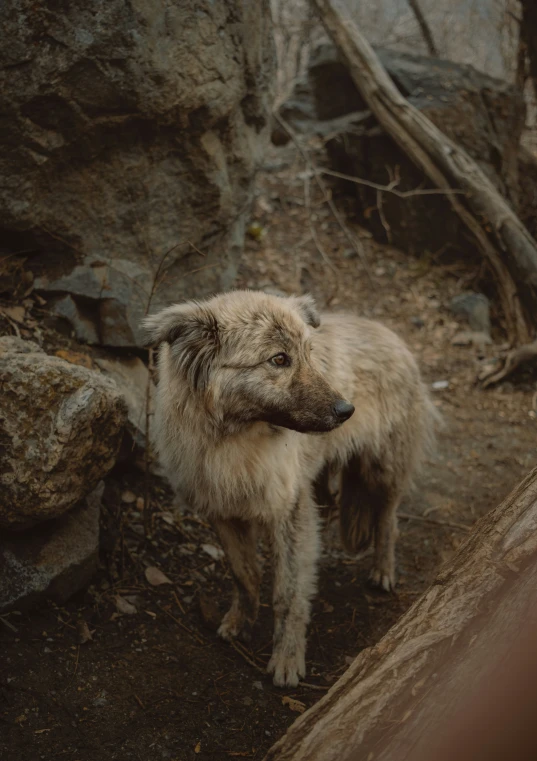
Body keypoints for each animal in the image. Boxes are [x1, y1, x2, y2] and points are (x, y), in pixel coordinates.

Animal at [141, 288, 436, 684]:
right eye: (279, 360)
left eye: (309, 354)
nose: (347, 410)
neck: (232, 440)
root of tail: (391, 334)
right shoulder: (221, 511)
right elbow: (245, 574)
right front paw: (240, 621)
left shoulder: (289, 512)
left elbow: (289, 592)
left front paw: (287, 657)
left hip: (382, 469)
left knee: (388, 518)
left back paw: (384, 568)